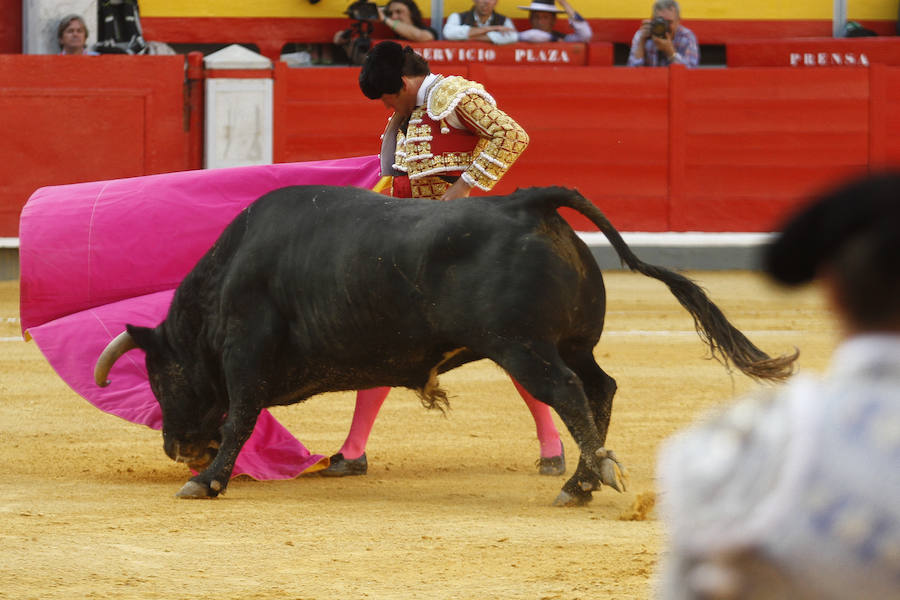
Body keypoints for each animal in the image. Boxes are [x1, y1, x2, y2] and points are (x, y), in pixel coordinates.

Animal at [91, 185, 796, 504]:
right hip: (568, 343)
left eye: (161, 377)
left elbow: (239, 415)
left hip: (523, 347)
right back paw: (583, 478)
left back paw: (583, 480)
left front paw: (207, 479)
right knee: (599, 387)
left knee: (568, 393)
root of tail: (530, 203)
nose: (176, 448)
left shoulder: (246, 357)